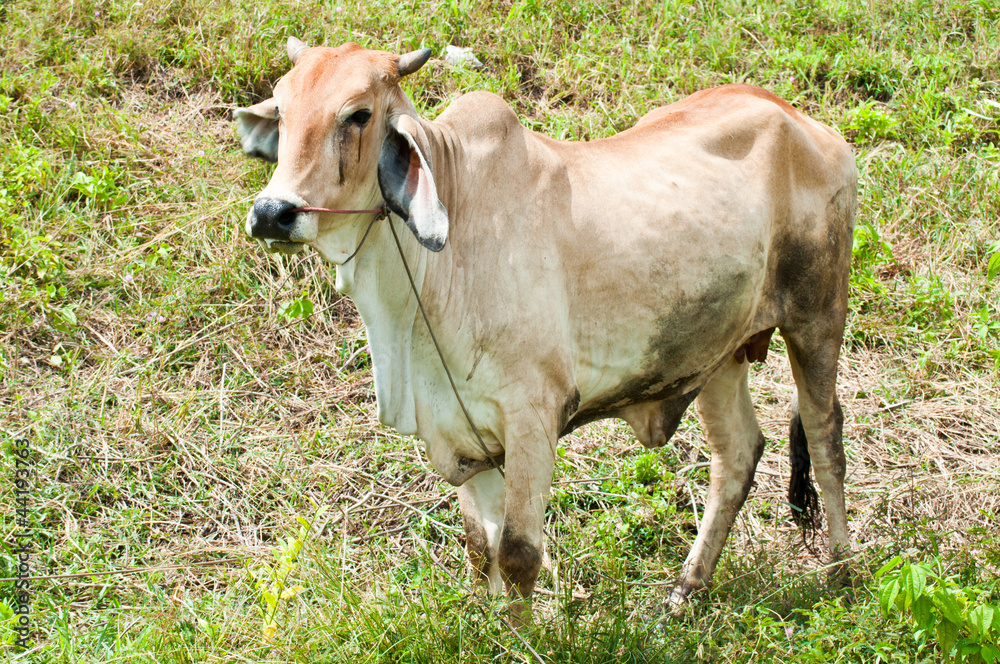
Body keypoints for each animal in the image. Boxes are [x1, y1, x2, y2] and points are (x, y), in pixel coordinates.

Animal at [235, 38, 856, 615]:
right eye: (283, 109)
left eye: (359, 114)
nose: (273, 214)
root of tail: (802, 120)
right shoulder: (464, 430)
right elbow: (479, 547)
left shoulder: (533, 414)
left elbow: (517, 553)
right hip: (719, 352)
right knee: (737, 456)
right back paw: (686, 588)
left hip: (816, 317)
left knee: (825, 439)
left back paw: (841, 577)